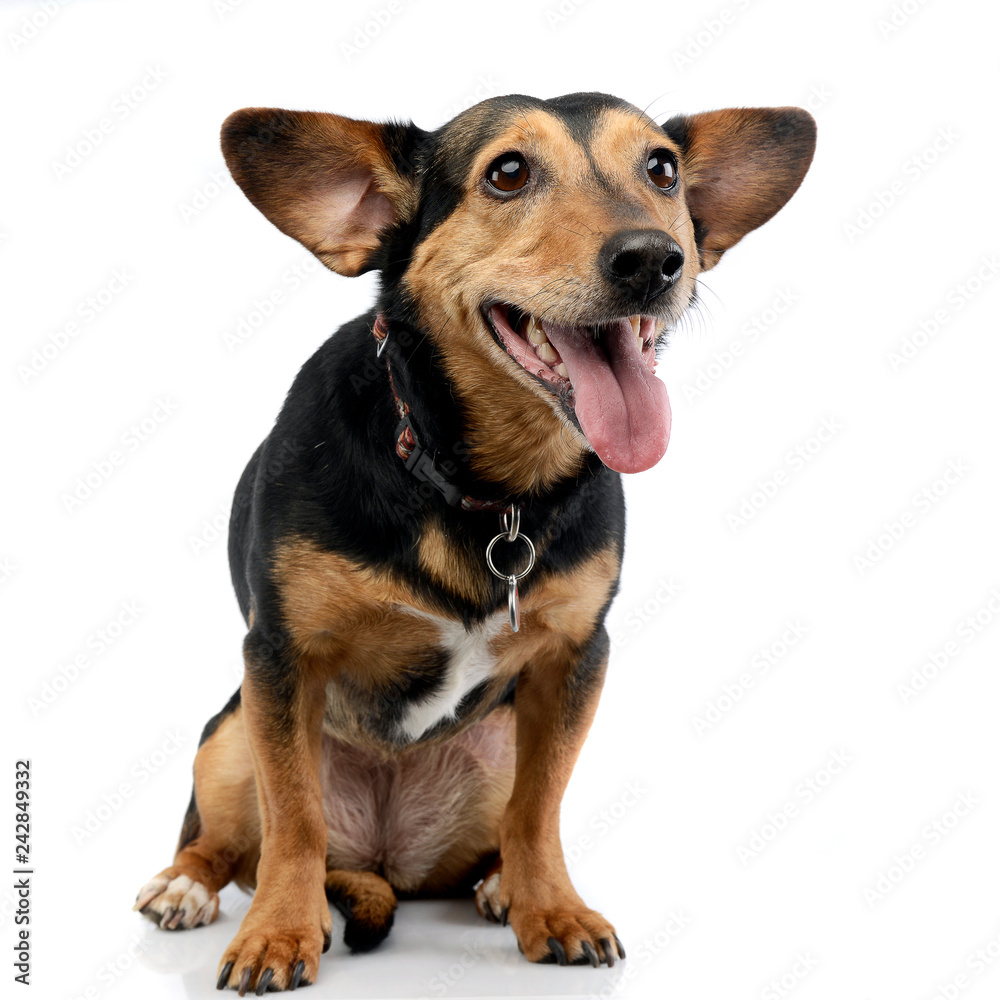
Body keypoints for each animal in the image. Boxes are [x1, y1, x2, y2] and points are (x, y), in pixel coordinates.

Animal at [133, 92, 816, 992]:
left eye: (662, 169)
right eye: (509, 172)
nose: (653, 259)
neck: (487, 491)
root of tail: (385, 860)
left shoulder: (574, 658)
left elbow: (539, 809)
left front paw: (551, 908)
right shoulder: (281, 656)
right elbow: (294, 819)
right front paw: (278, 934)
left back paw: (502, 887)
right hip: (230, 731)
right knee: (226, 842)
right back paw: (193, 886)